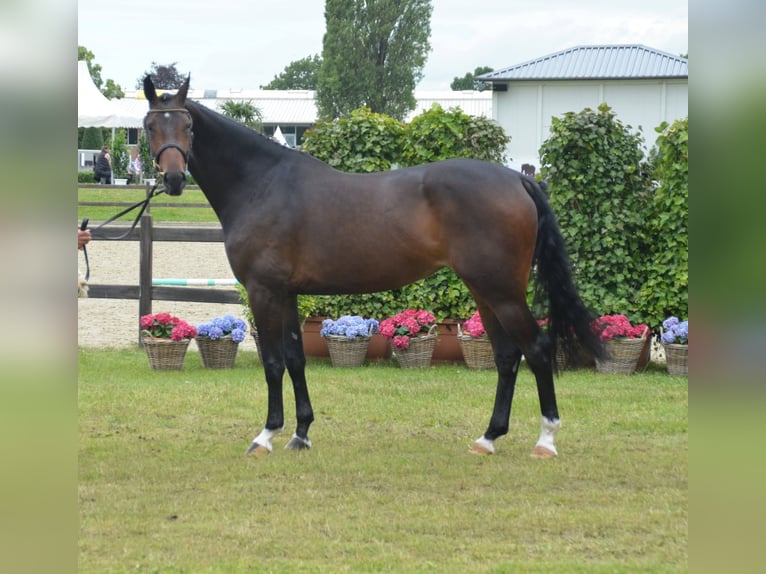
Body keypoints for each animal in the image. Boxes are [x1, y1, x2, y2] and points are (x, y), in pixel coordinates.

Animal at [142, 75, 604, 458]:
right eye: (150, 126)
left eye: (188, 127)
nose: (174, 179)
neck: (262, 183)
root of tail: (518, 179)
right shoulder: (286, 293)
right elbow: (295, 359)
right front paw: (301, 433)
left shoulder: (263, 291)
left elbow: (273, 363)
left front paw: (266, 435)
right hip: (485, 291)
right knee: (507, 356)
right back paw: (488, 438)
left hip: (502, 291)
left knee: (537, 349)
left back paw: (546, 440)